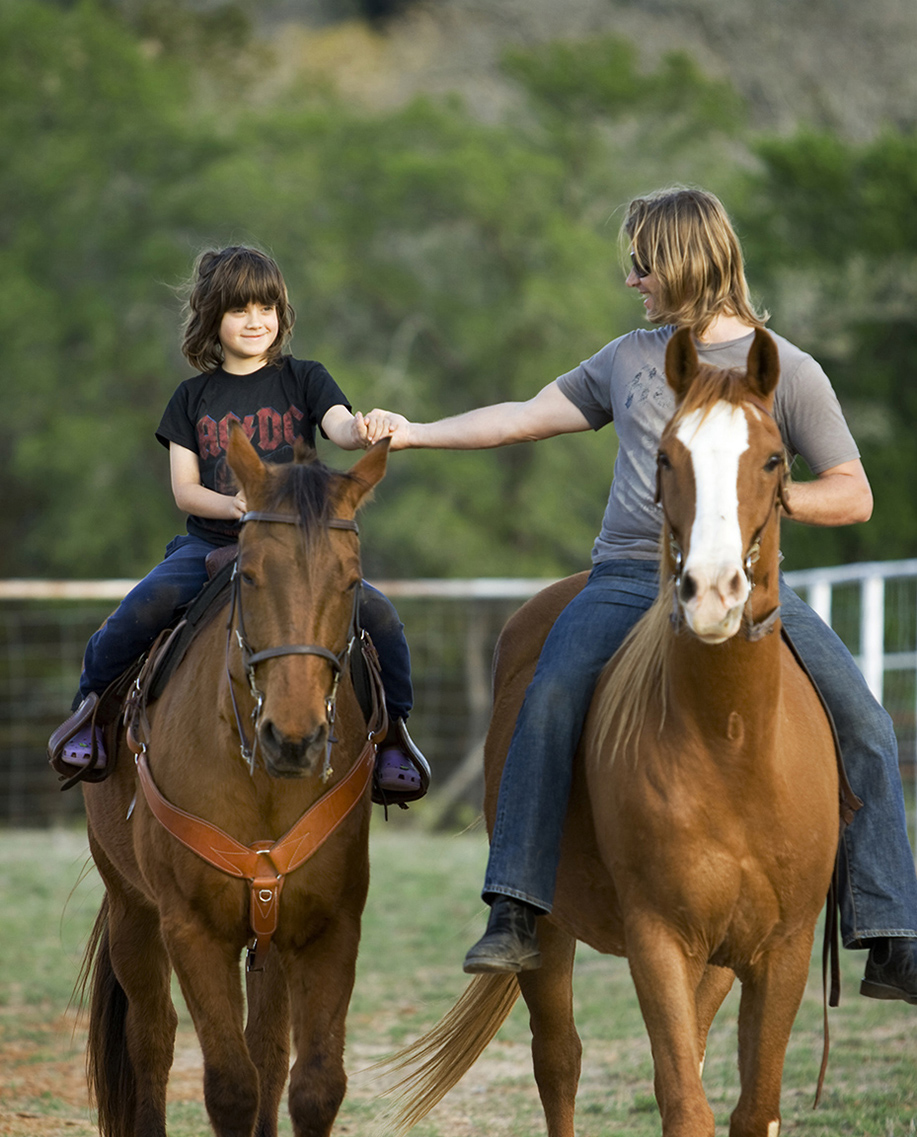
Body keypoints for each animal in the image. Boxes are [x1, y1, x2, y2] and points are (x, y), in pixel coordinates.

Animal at [79, 427, 390, 1137]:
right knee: (152, 1039)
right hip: (132, 907)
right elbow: (228, 1086)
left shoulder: (331, 926)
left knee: (268, 1047)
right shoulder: (193, 930)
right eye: (248, 575)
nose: (294, 739)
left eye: (352, 580)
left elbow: (313, 1084)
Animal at [384, 329, 840, 1137]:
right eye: (666, 456)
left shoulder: (779, 948)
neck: (732, 741)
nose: (713, 592)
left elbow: (749, 1106)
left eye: (772, 458)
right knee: (558, 1061)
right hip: (550, 934)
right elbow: (681, 1101)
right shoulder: (657, 939)